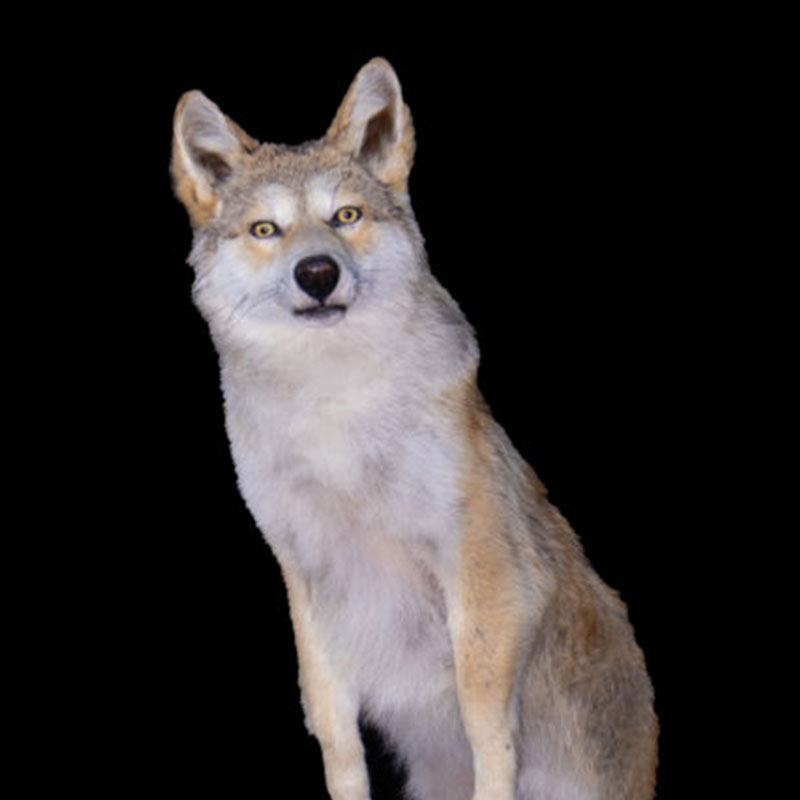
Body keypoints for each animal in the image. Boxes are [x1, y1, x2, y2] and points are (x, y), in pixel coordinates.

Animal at [171, 57, 658, 800]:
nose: (319, 273)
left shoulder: (479, 567)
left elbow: (486, 726)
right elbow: (334, 731)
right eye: (265, 230)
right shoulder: (305, 573)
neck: (336, 405)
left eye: (345, 216)